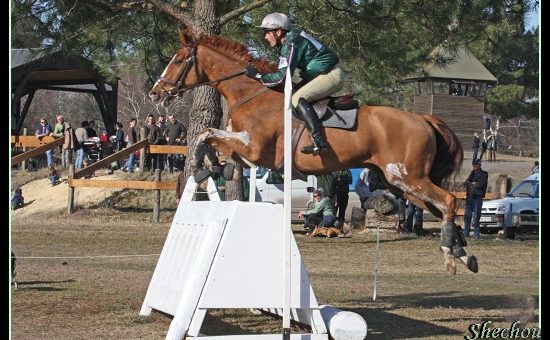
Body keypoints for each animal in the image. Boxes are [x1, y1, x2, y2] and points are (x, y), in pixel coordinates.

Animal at [148, 29, 478, 274]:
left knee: (449, 201)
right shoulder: (246, 152)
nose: (155, 93)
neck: (250, 94)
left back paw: (451, 257)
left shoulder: (253, 148)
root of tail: (422, 118)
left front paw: (204, 165)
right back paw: (464, 254)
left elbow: (205, 133)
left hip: (407, 177)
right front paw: (214, 167)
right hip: (400, 183)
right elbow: (212, 142)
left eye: (179, 60)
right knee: (442, 208)